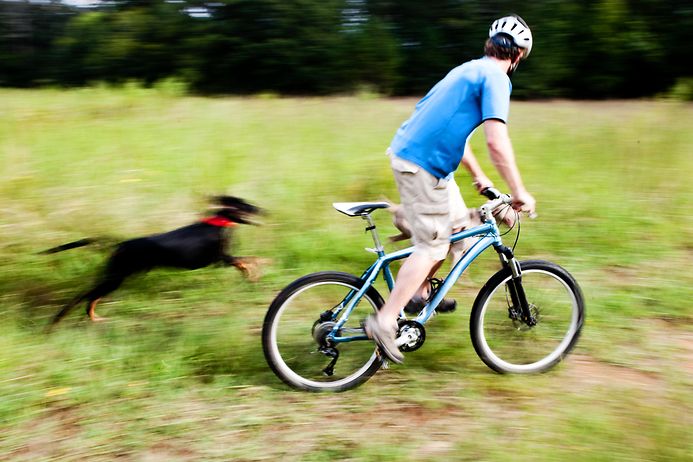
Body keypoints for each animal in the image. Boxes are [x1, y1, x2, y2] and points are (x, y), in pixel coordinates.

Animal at [43, 195, 264, 324]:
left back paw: (91, 317)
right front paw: (259, 269)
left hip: (115, 277)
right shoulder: (220, 259)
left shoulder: (222, 260)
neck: (218, 222)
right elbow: (248, 260)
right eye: (245, 204)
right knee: (84, 296)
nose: (261, 210)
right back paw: (60, 320)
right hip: (115, 278)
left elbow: (245, 263)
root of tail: (121, 244)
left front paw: (253, 275)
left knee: (90, 297)